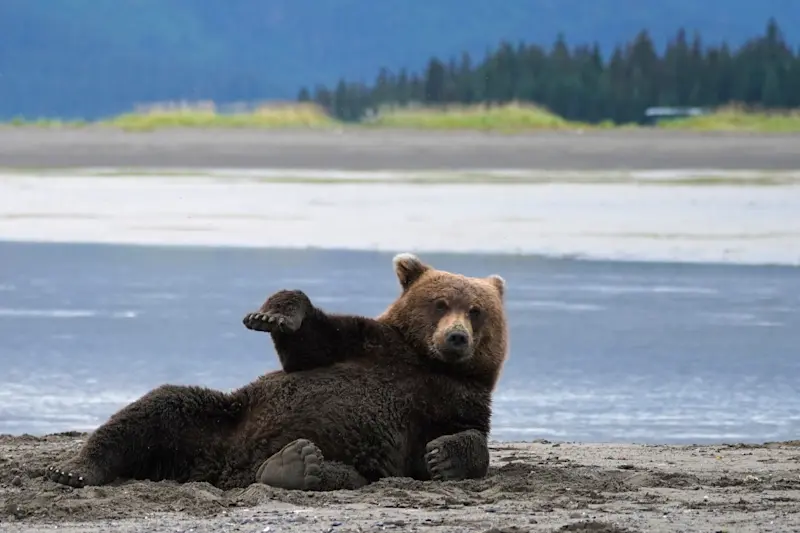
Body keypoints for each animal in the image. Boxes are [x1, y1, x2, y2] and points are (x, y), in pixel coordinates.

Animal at [45, 253, 509, 492]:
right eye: (439, 303)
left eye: (476, 310)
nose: (456, 338)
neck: (424, 361)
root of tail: (223, 471)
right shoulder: (369, 345)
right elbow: (311, 341)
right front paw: (273, 314)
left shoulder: (455, 398)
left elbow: (463, 439)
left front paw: (444, 456)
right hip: (220, 416)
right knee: (159, 407)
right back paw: (73, 469)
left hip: (355, 460)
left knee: (343, 474)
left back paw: (292, 466)